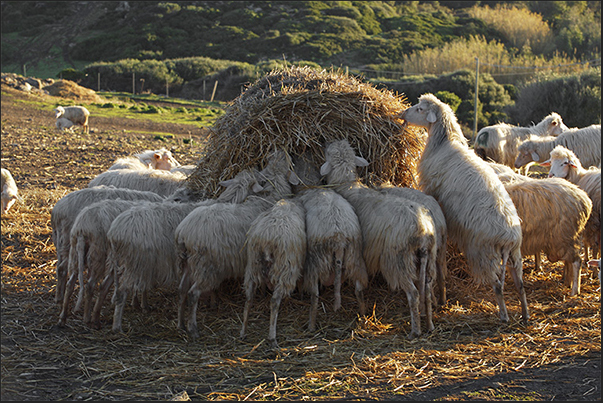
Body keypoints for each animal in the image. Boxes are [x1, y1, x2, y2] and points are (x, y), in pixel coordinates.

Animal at [177, 148, 300, 340]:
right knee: (193, 293)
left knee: (182, 290)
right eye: (289, 163)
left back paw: (181, 324)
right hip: (206, 267)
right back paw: (194, 329)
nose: (280, 149)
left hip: (188, 264)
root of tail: (184, 233)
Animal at [241, 197, 306, 348]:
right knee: (275, 301)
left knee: (248, 299)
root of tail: (267, 240)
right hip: (285, 269)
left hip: (252, 266)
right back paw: (272, 338)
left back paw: (243, 331)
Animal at [296, 186, 368, 332]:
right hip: (355, 258)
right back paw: (363, 315)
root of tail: (339, 240)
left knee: (315, 296)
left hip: (316, 262)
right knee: (358, 290)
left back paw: (311, 326)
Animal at [324, 140, 436, 340]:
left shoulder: (360, 253)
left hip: (397, 261)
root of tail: (423, 229)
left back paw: (415, 331)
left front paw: (361, 312)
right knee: (428, 291)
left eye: (328, 153)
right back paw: (430, 326)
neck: (348, 187)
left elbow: (359, 285)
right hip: (429, 259)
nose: (328, 142)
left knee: (414, 294)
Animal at [404, 93, 532, 326]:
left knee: (498, 285)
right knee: (520, 284)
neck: (444, 142)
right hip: (515, 255)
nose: (402, 113)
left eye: (419, 109)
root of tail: (509, 238)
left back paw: (503, 315)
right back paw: (525, 314)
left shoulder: (432, 189)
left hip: (483, 253)